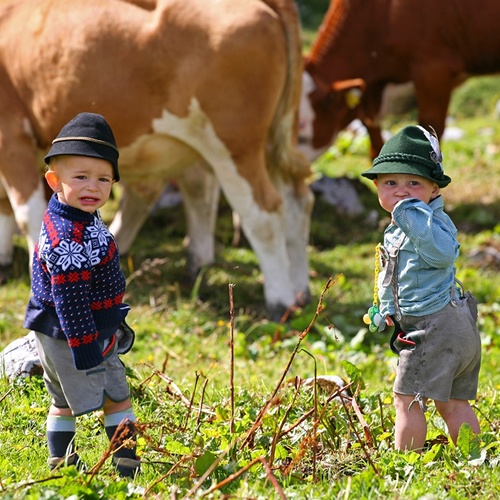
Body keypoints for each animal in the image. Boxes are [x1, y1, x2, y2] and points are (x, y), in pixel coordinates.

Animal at [0, 0, 312, 318]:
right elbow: (4, 207)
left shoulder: (11, 134)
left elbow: (27, 214)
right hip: (271, 142)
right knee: (296, 202)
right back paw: (299, 292)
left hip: (236, 145)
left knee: (264, 215)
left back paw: (280, 301)